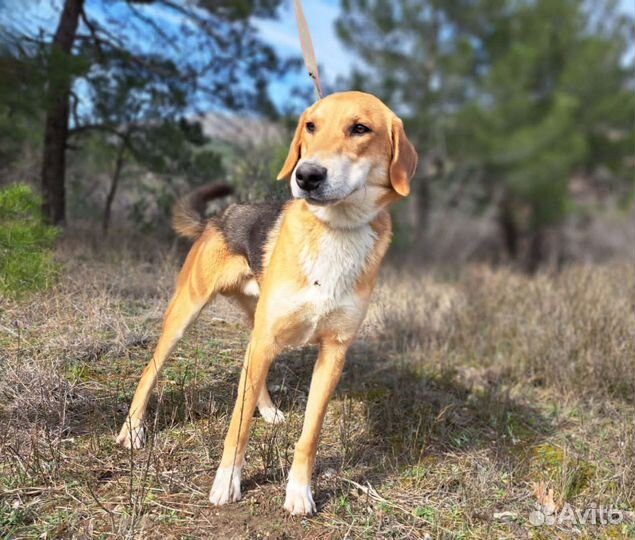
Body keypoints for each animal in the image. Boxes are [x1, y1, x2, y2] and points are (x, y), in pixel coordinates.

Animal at [117, 92, 420, 516]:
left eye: (360, 128)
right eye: (310, 126)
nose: (307, 176)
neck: (334, 230)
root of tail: (217, 218)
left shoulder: (333, 353)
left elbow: (309, 435)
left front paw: (299, 491)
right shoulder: (265, 341)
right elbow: (238, 425)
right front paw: (226, 483)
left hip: (256, 326)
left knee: (248, 372)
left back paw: (269, 410)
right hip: (188, 315)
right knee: (150, 371)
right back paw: (131, 430)